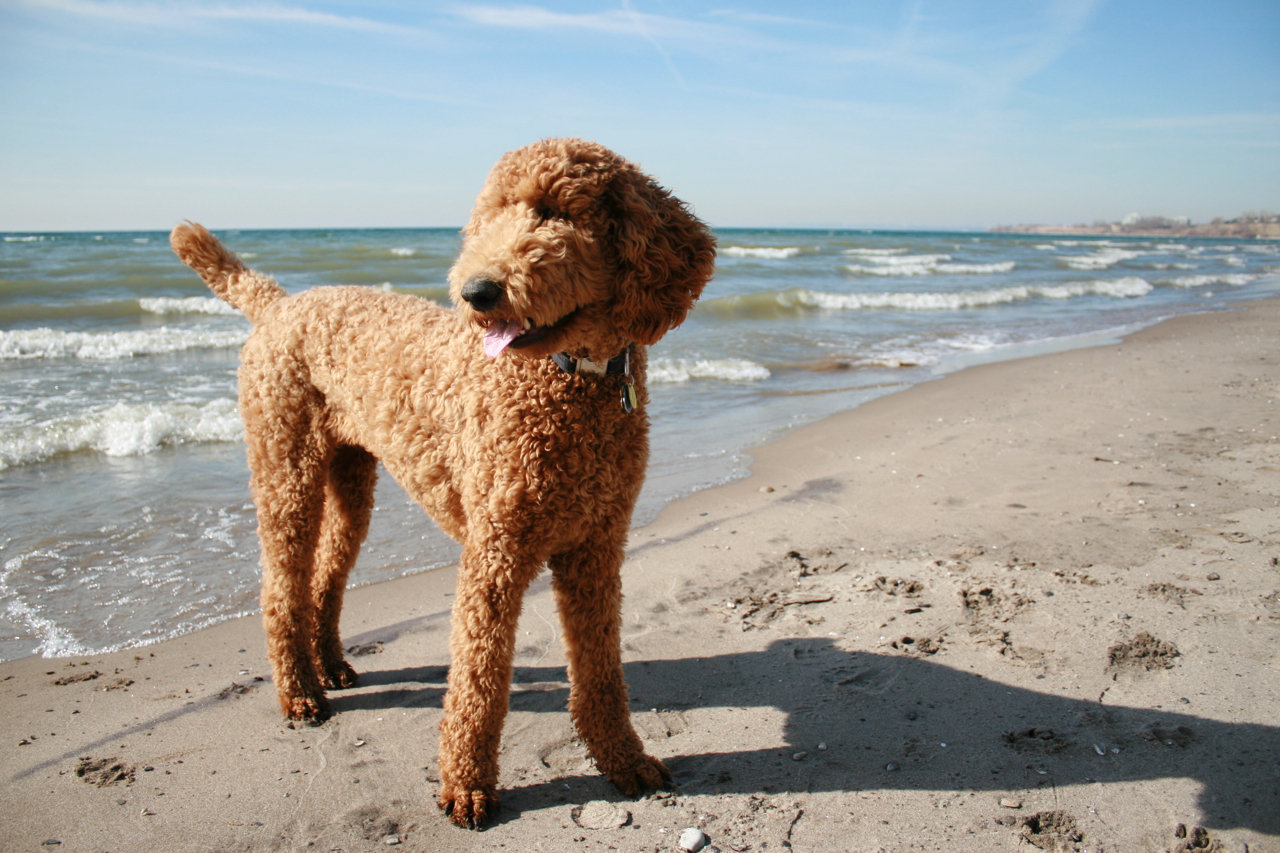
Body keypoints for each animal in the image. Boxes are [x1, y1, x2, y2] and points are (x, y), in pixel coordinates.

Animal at [167, 137, 721, 824]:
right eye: (488, 218)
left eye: (555, 214)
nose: (477, 291)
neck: (570, 378)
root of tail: (279, 303)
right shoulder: (495, 552)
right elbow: (478, 680)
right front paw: (467, 786)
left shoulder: (596, 548)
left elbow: (600, 671)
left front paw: (623, 759)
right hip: (285, 469)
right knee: (280, 589)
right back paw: (299, 694)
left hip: (350, 480)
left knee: (325, 575)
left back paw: (331, 667)